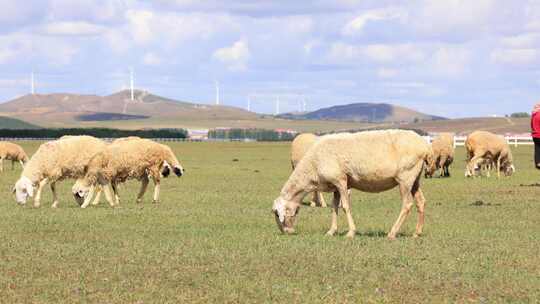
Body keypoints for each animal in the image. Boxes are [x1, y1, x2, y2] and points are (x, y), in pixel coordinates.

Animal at [270, 129, 434, 239]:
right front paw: (331, 231)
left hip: (405, 177)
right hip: (415, 179)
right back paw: (417, 232)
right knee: (421, 202)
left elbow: (345, 206)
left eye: (278, 214)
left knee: (407, 205)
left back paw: (392, 233)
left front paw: (350, 233)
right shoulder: (335, 185)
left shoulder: (341, 180)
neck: (312, 167)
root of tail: (425, 146)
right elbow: (334, 207)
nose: (287, 232)